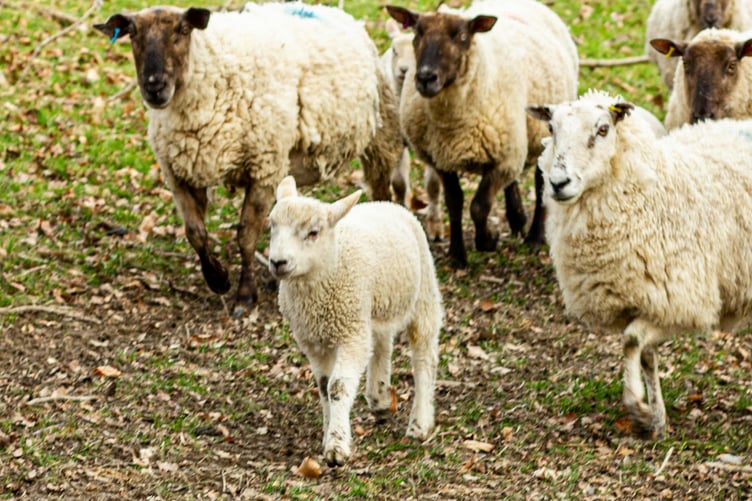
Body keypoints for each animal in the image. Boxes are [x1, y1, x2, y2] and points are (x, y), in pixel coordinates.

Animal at [93, 3, 402, 315]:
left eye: (183, 29)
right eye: (132, 33)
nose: (155, 87)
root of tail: (326, 9)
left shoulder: (264, 167)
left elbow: (245, 235)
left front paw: (244, 295)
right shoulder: (180, 172)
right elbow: (195, 232)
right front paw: (217, 278)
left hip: (381, 137)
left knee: (381, 190)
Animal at [267, 175, 443, 466]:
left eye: (313, 232)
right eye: (272, 226)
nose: (277, 262)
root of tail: (385, 204)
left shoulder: (350, 332)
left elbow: (337, 386)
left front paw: (336, 447)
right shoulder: (313, 341)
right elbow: (323, 387)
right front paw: (328, 433)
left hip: (423, 294)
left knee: (423, 357)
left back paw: (420, 423)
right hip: (374, 306)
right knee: (381, 345)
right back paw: (379, 399)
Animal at [381, 19, 444, 239]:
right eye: (394, 50)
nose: (404, 70)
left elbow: (433, 186)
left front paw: (436, 227)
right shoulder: (395, 141)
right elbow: (399, 183)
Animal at [526, 89, 752, 438]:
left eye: (603, 129)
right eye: (551, 128)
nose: (558, 182)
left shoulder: (683, 302)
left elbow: (631, 341)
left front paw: (638, 406)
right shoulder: (646, 301)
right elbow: (646, 355)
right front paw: (657, 420)